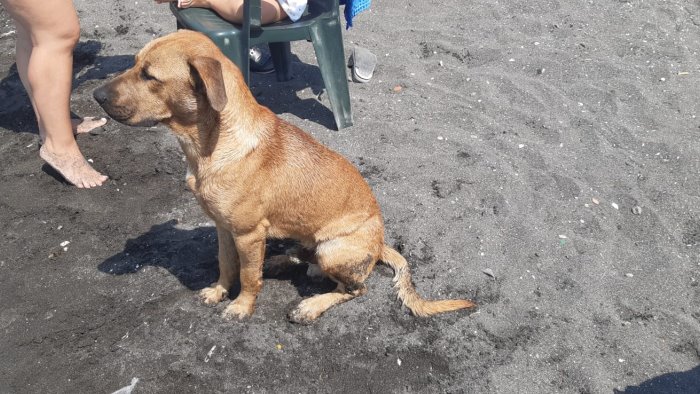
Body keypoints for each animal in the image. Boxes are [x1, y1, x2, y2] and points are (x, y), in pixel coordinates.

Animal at [93, 29, 476, 322]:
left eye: (149, 75)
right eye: (134, 63)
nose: (96, 95)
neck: (210, 146)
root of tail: (380, 244)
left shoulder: (247, 233)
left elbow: (248, 277)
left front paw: (242, 307)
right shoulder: (225, 229)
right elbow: (226, 265)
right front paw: (219, 291)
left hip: (333, 248)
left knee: (354, 287)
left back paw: (310, 306)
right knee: (306, 260)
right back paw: (279, 260)